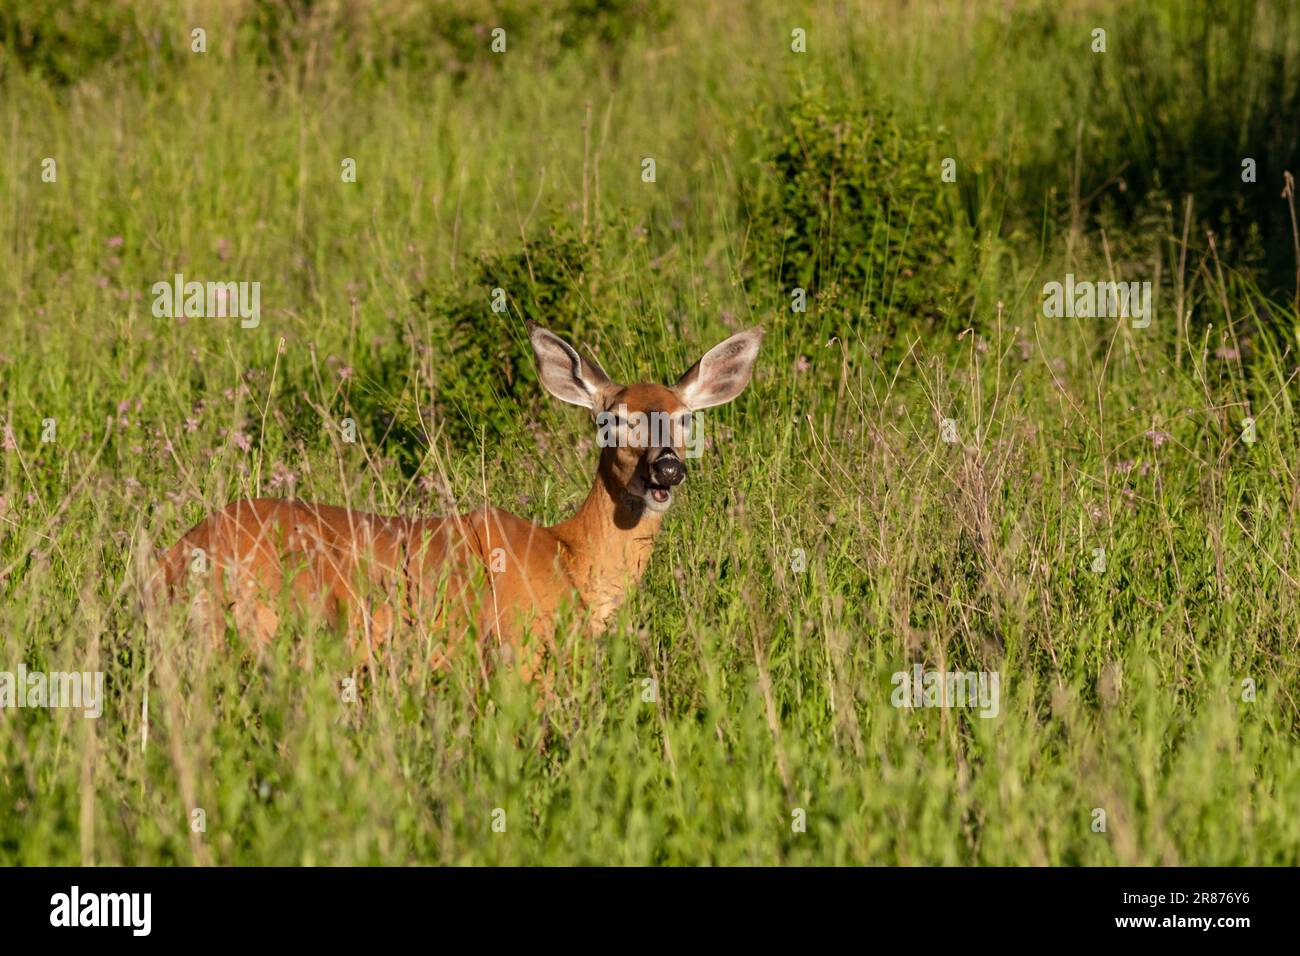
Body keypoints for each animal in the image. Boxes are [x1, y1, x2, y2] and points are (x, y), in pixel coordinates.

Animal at [153, 321, 764, 681]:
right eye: (612, 419)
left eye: (687, 419)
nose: (667, 466)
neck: (568, 558)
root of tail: (176, 557)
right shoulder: (520, 658)